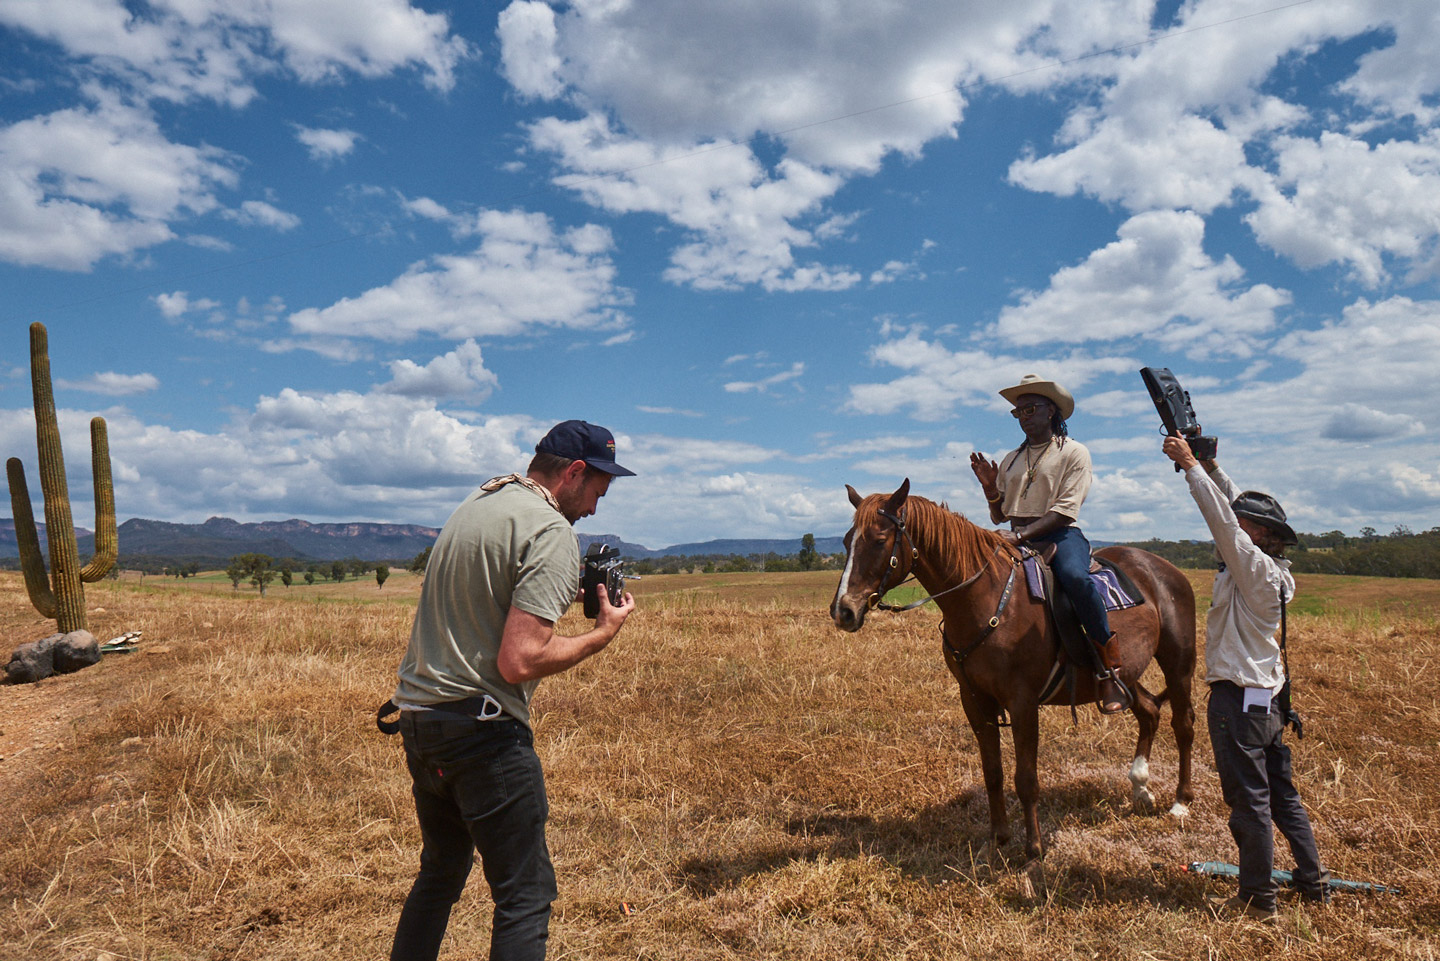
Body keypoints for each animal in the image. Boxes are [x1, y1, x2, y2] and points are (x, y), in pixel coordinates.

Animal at [830, 478, 1196, 862]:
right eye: (846, 541)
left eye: (879, 539)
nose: (843, 611)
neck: (986, 598)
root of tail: (1162, 569)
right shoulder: (975, 700)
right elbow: (993, 772)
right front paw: (999, 839)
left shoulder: (1023, 702)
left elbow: (1026, 778)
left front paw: (1033, 849)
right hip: (1123, 676)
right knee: (1150, 711)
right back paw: (1140, 787)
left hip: (1179, 664)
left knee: (1183, 724)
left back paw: (1181, 802)